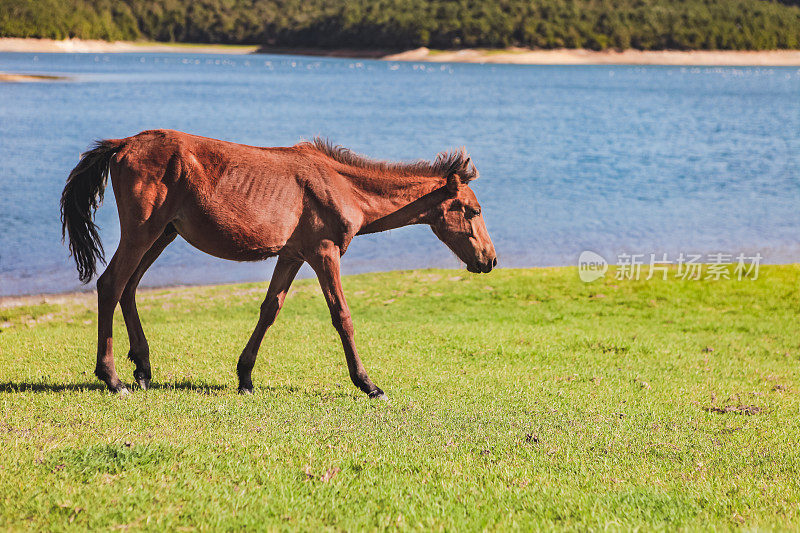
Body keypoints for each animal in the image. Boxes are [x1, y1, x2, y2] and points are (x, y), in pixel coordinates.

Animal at [62, 130, 496, 400]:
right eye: (473, 210)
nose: (490, 260)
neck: (343, 187)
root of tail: (122, 144)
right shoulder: (324, 252)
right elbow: (342, 316)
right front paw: (368, 384)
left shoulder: (291, 256)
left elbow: (269, 310)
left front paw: (245, 377)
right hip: (143, 231)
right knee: (111, 284)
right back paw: (113, 378)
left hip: (163, 234)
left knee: (130, 286)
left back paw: (143, 369)